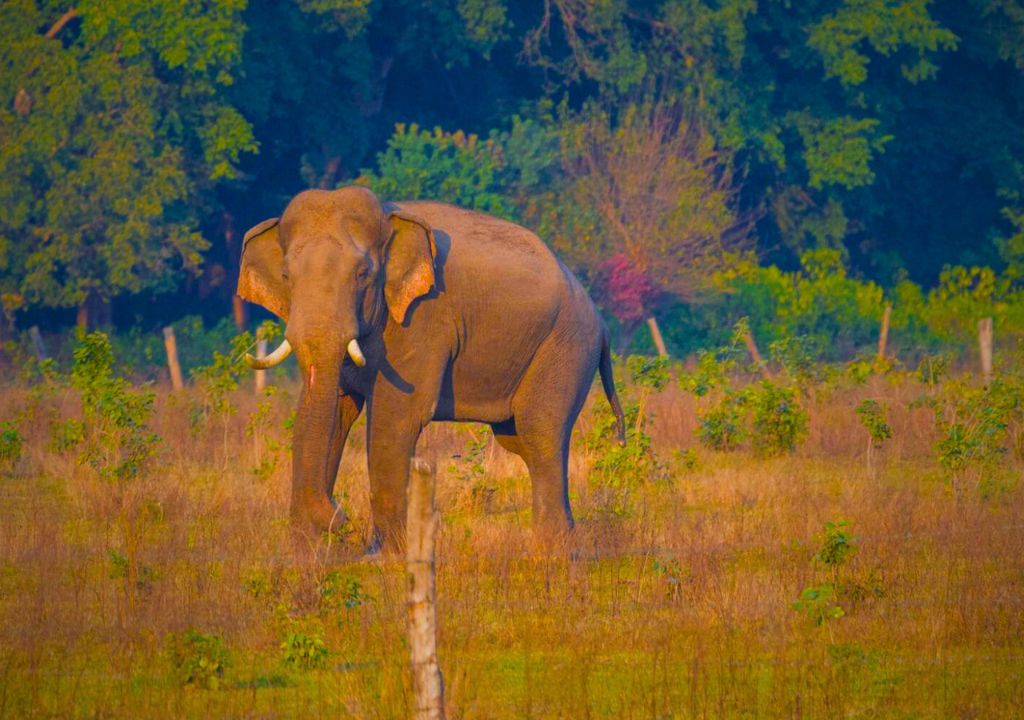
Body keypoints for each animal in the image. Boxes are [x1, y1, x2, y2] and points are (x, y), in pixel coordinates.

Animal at [236, 185, 625, 551]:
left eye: (363, 274)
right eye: (287, 275)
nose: (340, 517)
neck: (389, 217)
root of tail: (602, 322)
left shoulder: (425, 317)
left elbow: (396, 415)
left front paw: (386, 555)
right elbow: (326, 412)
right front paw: (309, 552)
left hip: (566, 346)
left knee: (540, 432)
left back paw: (550, 548)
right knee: (518, 439)